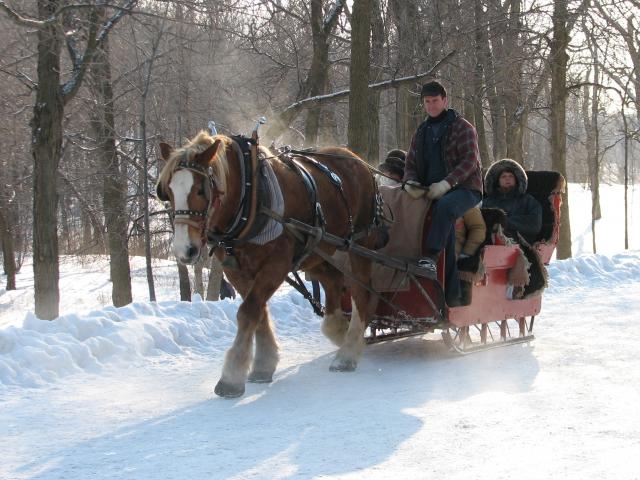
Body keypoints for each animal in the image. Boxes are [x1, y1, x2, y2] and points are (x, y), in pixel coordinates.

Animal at [156, 131, 380, 398]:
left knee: (360, 292)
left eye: (201, 190)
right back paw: (339, 331)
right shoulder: (235, 270)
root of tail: (357, 160)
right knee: (334, 282)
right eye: (167, 192)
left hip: (359, 245)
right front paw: (263, 365)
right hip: (317, 252)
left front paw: (232, 377)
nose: (184, 250)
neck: (251, 197)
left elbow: (249, 311)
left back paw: (348, 352)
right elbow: (258, 312)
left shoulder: (276, 264)